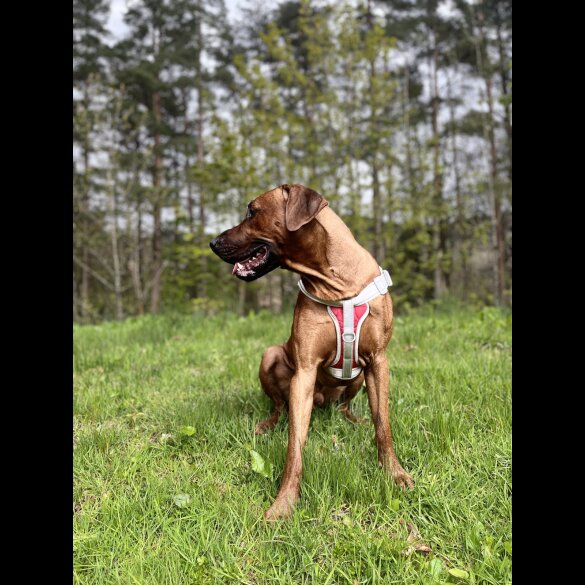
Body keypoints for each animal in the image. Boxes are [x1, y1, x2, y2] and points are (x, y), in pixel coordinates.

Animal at [208, 184, 412, 520]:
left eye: (252, 211)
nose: (212, 242)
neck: (335, 282)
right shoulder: (304, 372)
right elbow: (294, 447)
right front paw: (284, 503)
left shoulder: (379, 361)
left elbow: (383, 424)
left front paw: (394, 474)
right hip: (270, 356)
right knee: (279, 406)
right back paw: (268, 424)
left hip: (357, 379)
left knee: (345, 406)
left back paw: (353, 420)